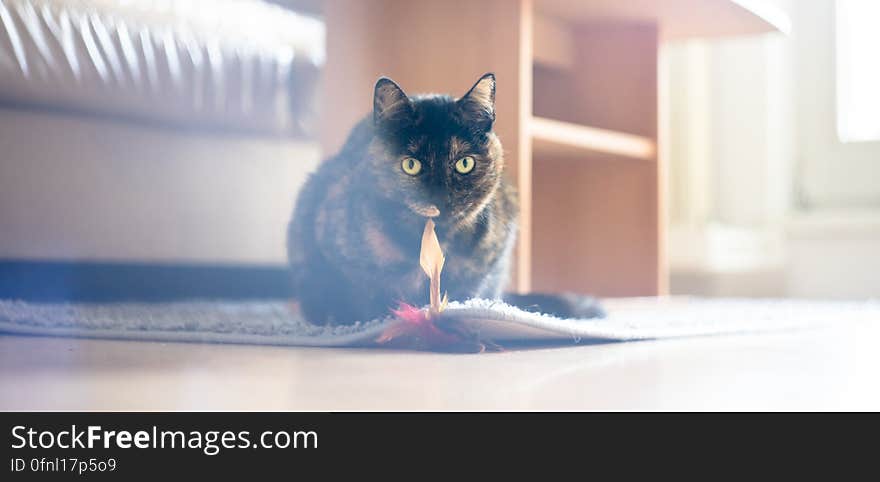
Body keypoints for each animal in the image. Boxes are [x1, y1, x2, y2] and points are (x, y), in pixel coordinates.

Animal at [288, 74, 604, 324]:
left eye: (464, 163)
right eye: (411, 165)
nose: (439, 197)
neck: (437, 237)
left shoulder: (489, 259)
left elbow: (466, 294)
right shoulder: (342, 256)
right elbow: (362, 292)